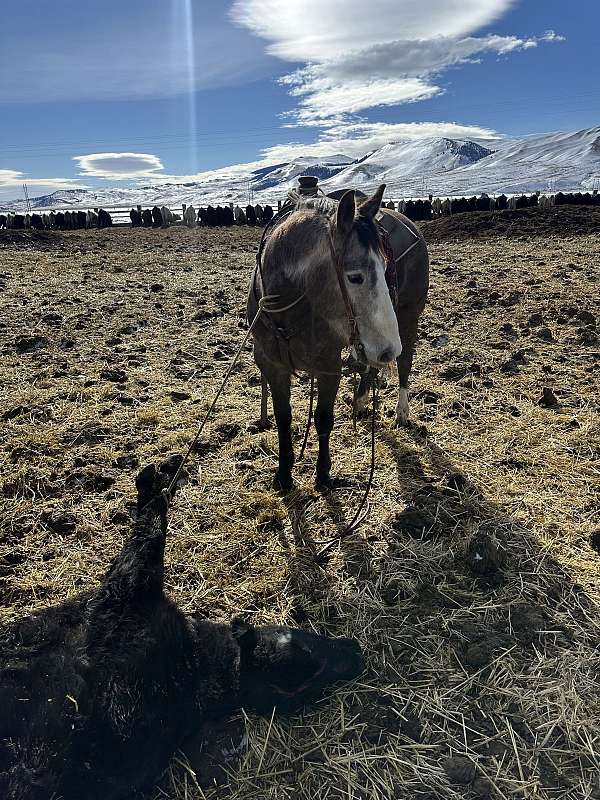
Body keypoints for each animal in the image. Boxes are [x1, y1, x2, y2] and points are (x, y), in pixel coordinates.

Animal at [246, 184, 428, 490]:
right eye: (354, 277)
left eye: (385, 268)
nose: (388, 349)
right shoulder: (271, 364)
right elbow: (283, 417)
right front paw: (284, 474)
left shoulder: (328, 364)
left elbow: (323, 418)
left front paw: (323, 474)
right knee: (369, 368)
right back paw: (361, 401)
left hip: (407, 316)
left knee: (405, 363)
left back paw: (401, 411)